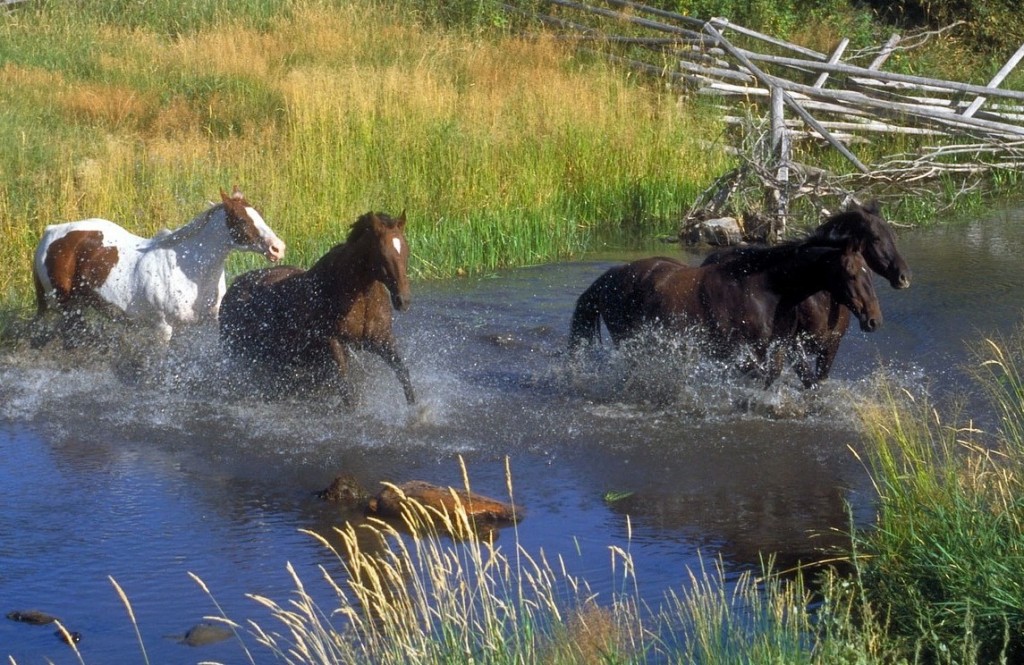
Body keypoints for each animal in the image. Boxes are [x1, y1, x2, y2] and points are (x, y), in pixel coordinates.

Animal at [32, 184, 284, 344]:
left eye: (258, 214)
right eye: (241, 220)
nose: (278, 248)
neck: (191, 269)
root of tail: (51, 232)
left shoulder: (206, 324)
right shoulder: (164, 328)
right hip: (67, 307)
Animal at [220, 210, 415, 401]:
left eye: (406, 251)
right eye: (383, 254)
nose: (403, 300)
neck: (359, 297)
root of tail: (232, 290)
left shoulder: (382, 340)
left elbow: (404, 377)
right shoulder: (333, 344)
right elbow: (347, 391)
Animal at [565, 242, 884, 389]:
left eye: (870, 272)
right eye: (852, 273)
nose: (874, 319)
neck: (763, 289)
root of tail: (612, 276)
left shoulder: (777, 347)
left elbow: (779, 376)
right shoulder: (738, 352)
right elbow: (761, 377)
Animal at [700, 199, 909, 387]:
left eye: (893, 236)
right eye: (876, 237)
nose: (903, 276)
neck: (821, 299)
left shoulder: (830, 346)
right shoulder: (794, 346)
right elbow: (809, 382)